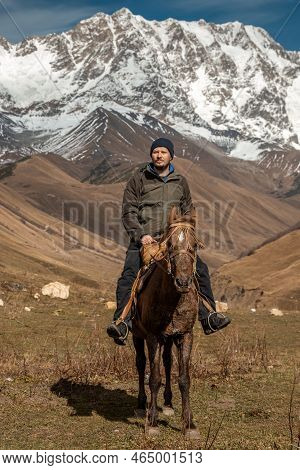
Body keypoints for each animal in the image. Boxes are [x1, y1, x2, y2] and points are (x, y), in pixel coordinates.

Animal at [132, 206, 200, 436]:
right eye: (170, 245)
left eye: (195, 245)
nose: (183, 282)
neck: (172, 300)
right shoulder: (153, 337)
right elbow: (154, 378)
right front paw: (152, 422)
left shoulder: (185, 335)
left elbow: (184, 379)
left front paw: (189, 424)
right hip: (138, 336)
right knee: (141, 363)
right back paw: (141, 403)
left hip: (169, 339)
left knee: (168, 362)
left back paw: (169, 404)